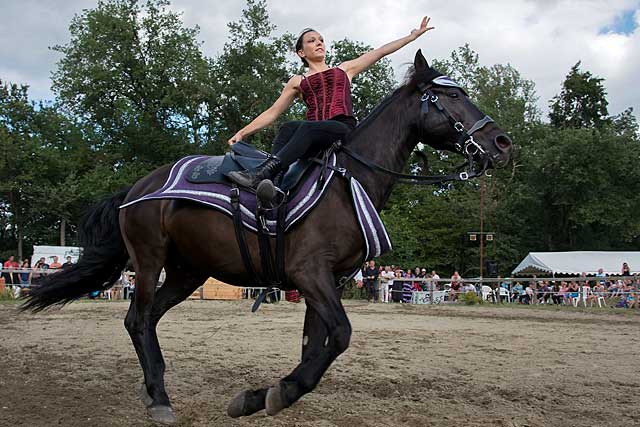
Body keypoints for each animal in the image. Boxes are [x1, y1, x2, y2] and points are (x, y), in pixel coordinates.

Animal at [23, 51, 510, 424]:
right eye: (452, 96)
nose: (502, 142)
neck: (345, 182)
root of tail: (138, 188)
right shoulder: (310, 273)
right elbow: (340, 335)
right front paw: (274, 393)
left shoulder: (327, 281)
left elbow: (316, 346)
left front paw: (266, 395)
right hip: (148, 261)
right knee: (139, 320)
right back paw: (160, 400)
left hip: (186, 272)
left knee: (144, 320)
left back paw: (152, 387)